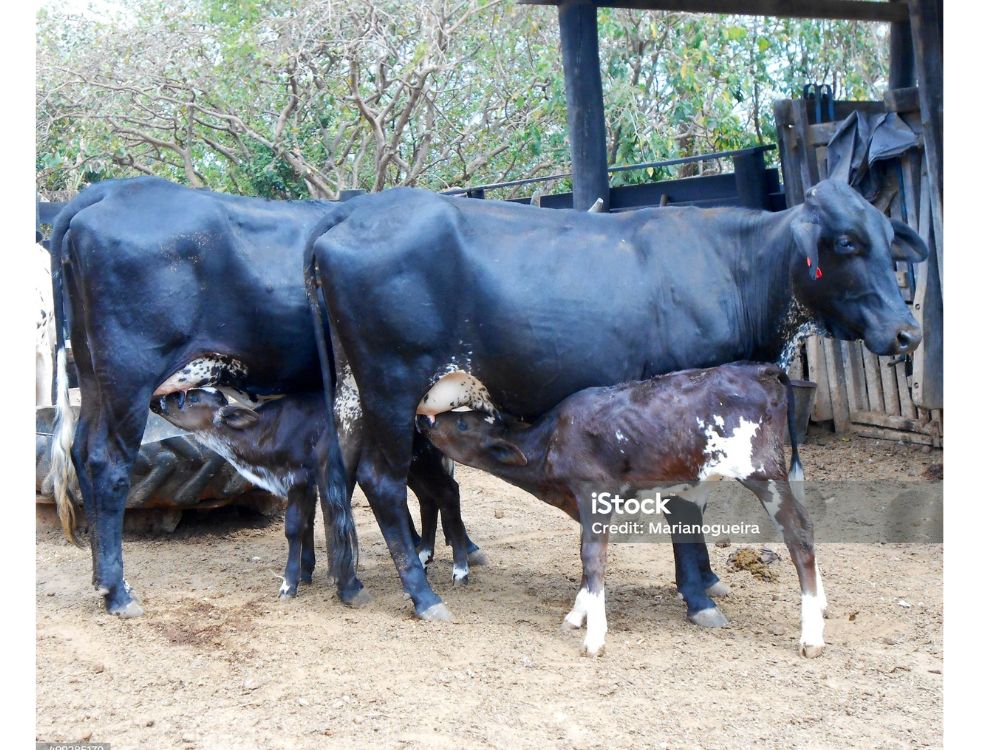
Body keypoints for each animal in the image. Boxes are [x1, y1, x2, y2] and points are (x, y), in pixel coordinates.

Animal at [48, 179, 474, 620]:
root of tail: (113, 191)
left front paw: (310, 570)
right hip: (127, 377)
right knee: (108, 462)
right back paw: (117, 591)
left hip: (94, 378)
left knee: (81, 452)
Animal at [308, 179, 924, 620]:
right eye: (846, 242)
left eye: (888, 240)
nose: (907, 333)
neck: (738, 271)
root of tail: (354, 212)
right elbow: (686, 505)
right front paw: (699, 596)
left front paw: (707, 582)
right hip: (391, 387)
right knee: (382, 481)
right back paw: (423, 596)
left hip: (353, 395)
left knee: (337, 472)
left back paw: (350, 584)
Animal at [418, 364, 824, 656]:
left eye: (463, 422)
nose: (425, 422)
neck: (551, 444)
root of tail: (761, 369)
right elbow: (587, 562)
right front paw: (577, 614)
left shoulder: (592, 492)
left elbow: (592, 558)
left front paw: (594, 636)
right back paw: (821, 608)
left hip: (762, 472)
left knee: (799, 530)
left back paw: (812, 637)